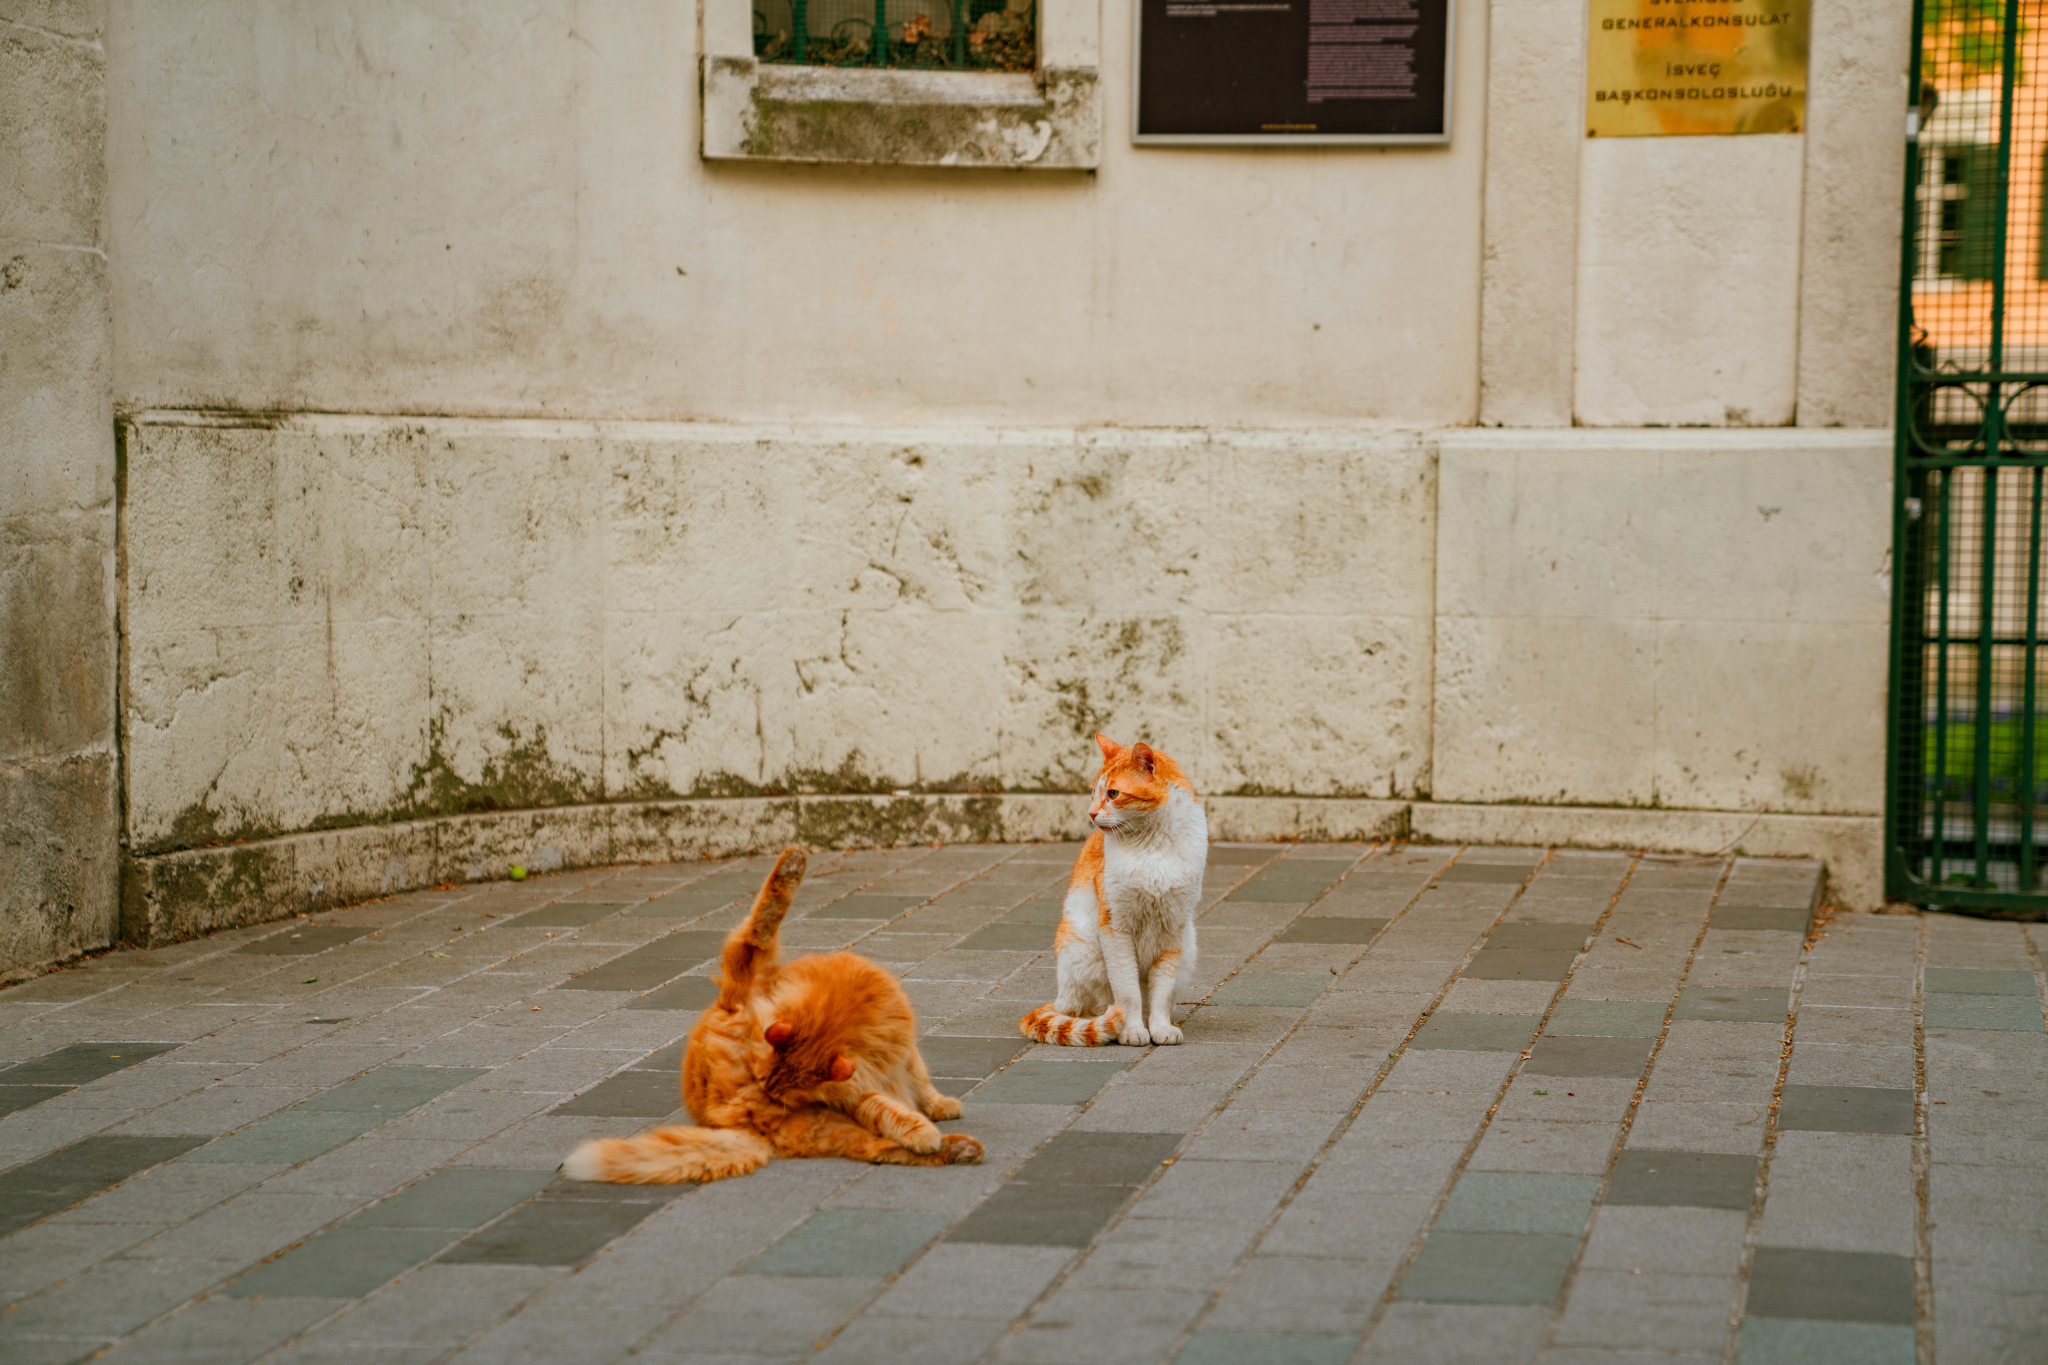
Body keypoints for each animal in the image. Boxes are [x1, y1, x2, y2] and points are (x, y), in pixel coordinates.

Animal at [557, 843, 978, 1186]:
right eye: (767, 1084)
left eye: (777, 1090)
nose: (768, 1093)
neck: (842, 1013)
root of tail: (727, 1115)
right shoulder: (860, 1085)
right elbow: (890, 1107)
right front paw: (923, 1127)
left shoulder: (896, 1058)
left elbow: (920, 1083)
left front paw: (938, 1107)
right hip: (748, 984)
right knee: (758, 926)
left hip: (819, 1122)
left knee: (873, 1148)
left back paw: (960, 1148)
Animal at [1019, 736, 1196, 1047]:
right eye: (1094, 793)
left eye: (1113, 793)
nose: (1090, 813)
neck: (1153, 845)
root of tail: (1062, 998)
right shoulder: (1115, 928)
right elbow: (1127, 991)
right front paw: (1132, 1029)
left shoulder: (1173, 929)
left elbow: (1161, 992)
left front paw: (1160, 1028)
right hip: (1087, 951)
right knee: (1094, 1008)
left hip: (1188, 948)